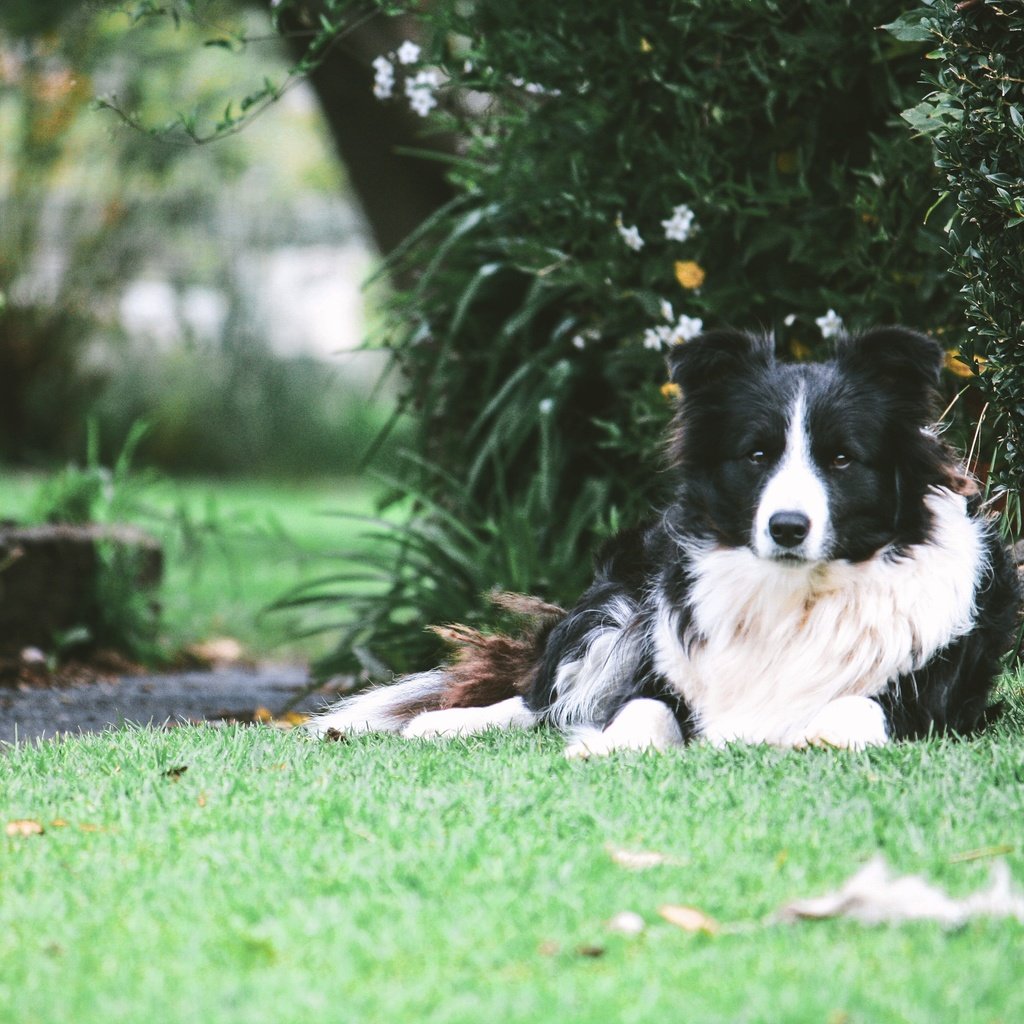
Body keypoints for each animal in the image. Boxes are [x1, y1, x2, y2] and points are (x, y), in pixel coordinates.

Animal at [307, 331, 1019, 757]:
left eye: (842, 459)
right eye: (757, 454)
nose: (787, 527)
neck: (794, 595)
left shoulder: (933, 701)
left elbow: (858, 711)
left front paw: (815, 736)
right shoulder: (663, 664)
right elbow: (642, 706)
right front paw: (606, 745)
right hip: (624, 604)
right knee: (543, 699)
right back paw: (441, 722)